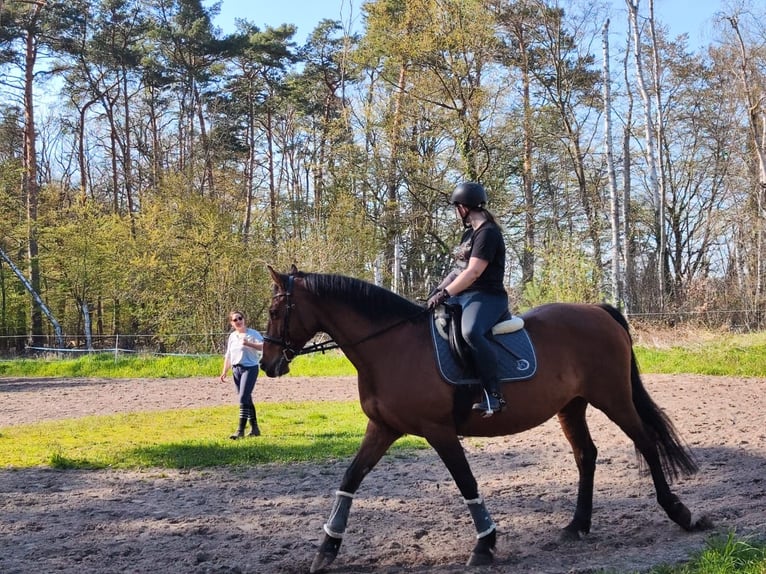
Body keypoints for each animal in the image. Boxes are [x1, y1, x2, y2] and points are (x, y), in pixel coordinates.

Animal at [260, 266, 712, 572]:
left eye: (276, 309)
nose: (267, 364)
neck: (391, 347)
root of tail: (599, 311)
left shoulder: (439, 431)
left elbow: (467, 483)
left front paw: (485, 544)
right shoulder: (383, 428)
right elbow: (351, 478)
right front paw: (326, 549)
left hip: (613, 398)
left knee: (646, 442)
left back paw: (681, 514)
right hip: (573, 406)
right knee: (586, 455)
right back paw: (577, 525)